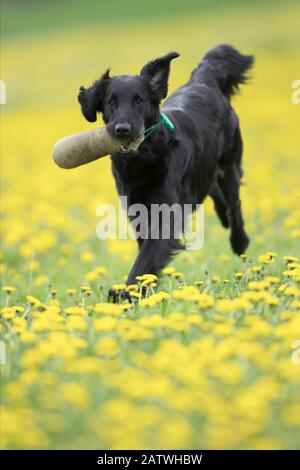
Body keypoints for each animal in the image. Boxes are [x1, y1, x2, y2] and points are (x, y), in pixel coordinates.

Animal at [78, 45, 253, 286]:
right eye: (110, 102)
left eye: (139, 100)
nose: (122, 129)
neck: (143, 159)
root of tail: (203, 82)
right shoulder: (137, 210)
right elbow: (145, 253)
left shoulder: (165, 214)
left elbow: (146, 257)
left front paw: (127, 290)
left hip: (229, 166)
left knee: (234, 203)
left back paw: (239, 241)